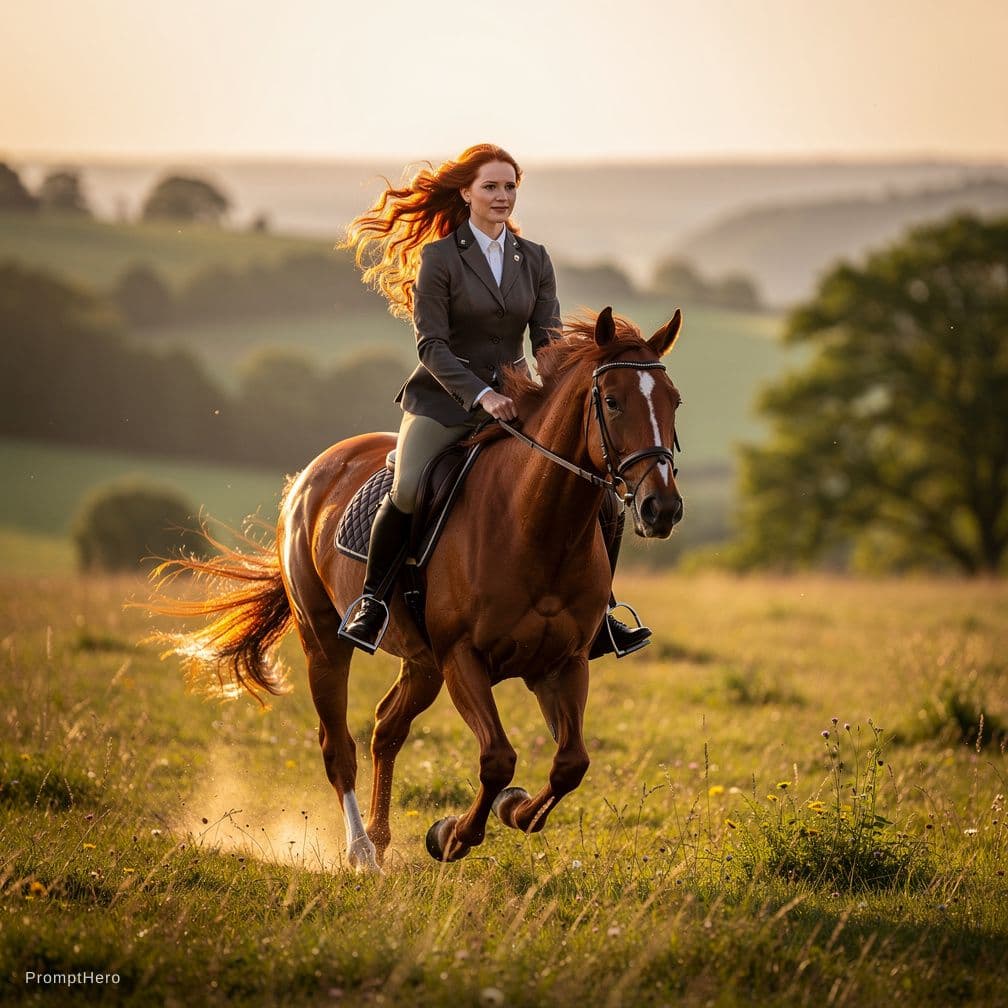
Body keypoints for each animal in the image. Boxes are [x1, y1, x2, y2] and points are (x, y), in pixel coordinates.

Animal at [152, 307, 684, 871]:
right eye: (612, 401)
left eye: (674, 401)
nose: (662, 508)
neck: (534, 524)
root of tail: (310, 474)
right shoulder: (462, 658)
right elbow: (498, 759)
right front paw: (452, 835)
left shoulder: (563, 662)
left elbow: (570, 763)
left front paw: (513, 810)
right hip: (324, 640)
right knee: (337, 745)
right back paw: (361, 851)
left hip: (422, 663)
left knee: (387, 729)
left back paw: (381, 838)